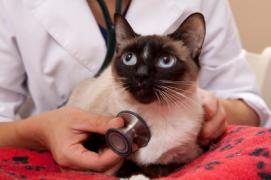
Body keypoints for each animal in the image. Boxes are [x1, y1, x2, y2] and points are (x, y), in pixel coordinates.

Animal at [67, 13, 206, 179]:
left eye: (166, 61)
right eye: (129, 58)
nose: (141, 75)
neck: (154, 114)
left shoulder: (188, 156)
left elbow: (161, 168)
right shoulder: (97, 138)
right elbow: (127, 164)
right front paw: (136, 174)